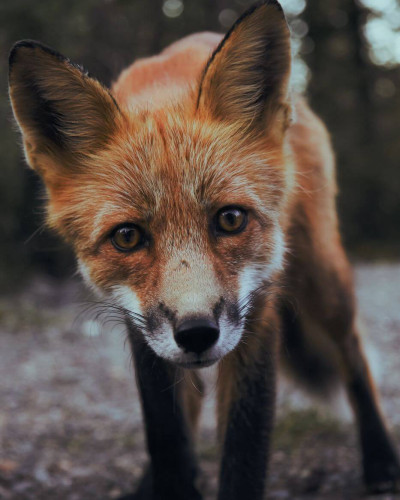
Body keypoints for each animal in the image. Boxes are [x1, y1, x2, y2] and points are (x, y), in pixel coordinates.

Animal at [7, 0, 400, 500]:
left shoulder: (258, 313)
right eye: (127, 237)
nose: (196, 333)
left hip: (323, 278)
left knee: (352, 353)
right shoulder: (141, 326)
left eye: (230, 219)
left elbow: (244, 448)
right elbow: (168, 435)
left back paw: (381, 459)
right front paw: (171, 481)